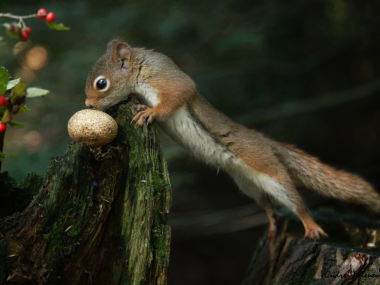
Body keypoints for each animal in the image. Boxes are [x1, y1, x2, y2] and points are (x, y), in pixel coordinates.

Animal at [85, 38, 380, 239]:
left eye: (101, 83)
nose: (87, 105)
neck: (140, 68)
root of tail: (267, 143)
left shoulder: (168, 81)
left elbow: (176, 96)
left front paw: (150, 112)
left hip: (271, 173)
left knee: (296, 202)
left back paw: (312, 226)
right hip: (248, 185)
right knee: (268, 205)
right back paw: (272, 223)